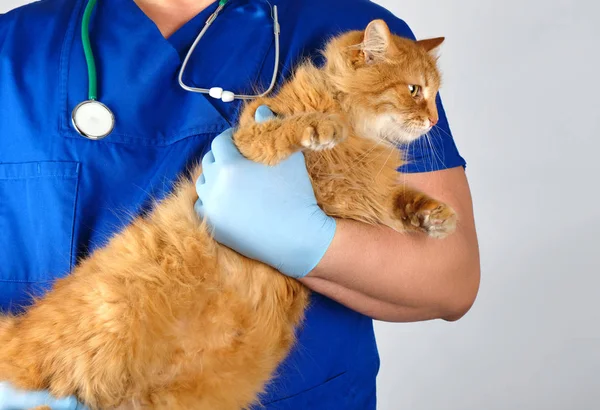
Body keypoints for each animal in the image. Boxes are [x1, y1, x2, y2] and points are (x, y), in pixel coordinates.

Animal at [0, 20, 454, 410]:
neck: (358, 133)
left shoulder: (363, 202)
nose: (434, 120)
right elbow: (283, 130)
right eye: (415, 89)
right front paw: (319, 127)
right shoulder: (250, 137)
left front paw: (437, 216)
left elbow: (400, 199)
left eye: (435, 95)